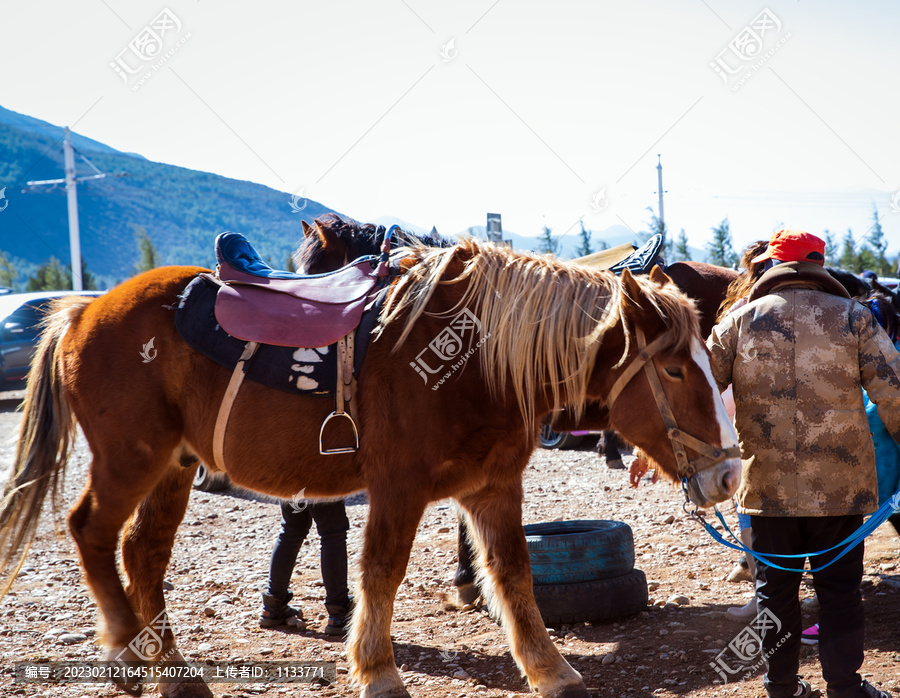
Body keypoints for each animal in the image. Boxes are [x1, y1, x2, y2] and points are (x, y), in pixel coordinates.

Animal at [0, 219, 740, 696]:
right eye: (674, 369)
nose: (730, 472)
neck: (476, 359)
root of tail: (81, 313)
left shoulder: (494, 486)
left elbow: (514, 576)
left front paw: (550, 670)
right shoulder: (398, 487)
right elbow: (381, 574)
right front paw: (379, 672)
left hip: (173, 467)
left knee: (143, 555)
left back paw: (176, 678)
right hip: (131, 459)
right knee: (92, 533)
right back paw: (126, 658)